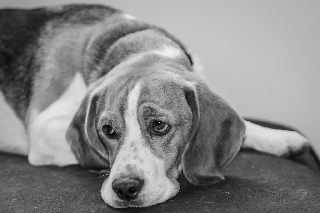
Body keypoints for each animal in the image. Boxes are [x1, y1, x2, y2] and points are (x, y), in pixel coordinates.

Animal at [0, 4, 310, 209]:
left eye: (159, 125)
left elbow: (247, 127)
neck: (139, 45)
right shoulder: (43, 128)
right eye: (107, 130)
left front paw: (282, 139)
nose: (125, 189)